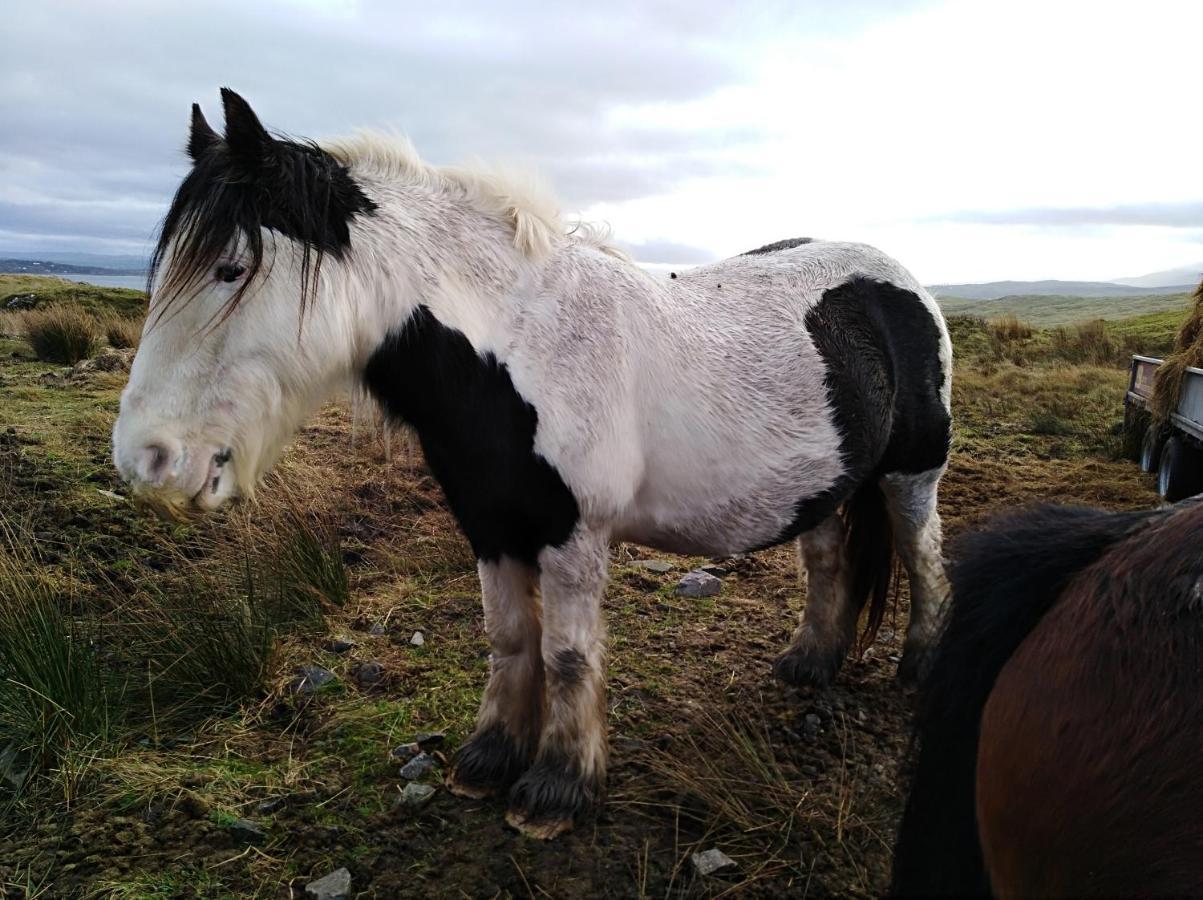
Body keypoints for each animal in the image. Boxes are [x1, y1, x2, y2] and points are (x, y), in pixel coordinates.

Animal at [114, 91, 957, 837]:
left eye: (231, 269)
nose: (144, 459)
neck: (520, 350)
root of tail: (902, 282)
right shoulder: (489, 524)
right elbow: (510, 639)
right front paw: (488, 758)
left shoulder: (570, 534)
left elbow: (567, 654)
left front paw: (556, 788)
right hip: (825, 484)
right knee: (826, 561)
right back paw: (809, 662)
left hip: (911, 476)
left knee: (924, 558)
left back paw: (920, 666)